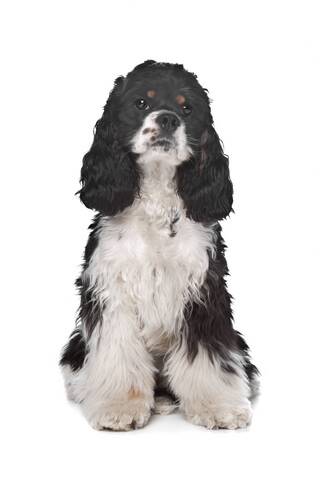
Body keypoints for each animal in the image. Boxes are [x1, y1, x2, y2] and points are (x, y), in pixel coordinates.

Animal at [60, 60, 258, 432]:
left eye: (187, 108)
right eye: (141, 103)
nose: (167, 119)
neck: (156, 203)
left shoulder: (203, 294)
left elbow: (210, 360)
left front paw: (219, 407)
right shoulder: (112, 293)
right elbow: (118, 355)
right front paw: (119, 407)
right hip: (76, 346)